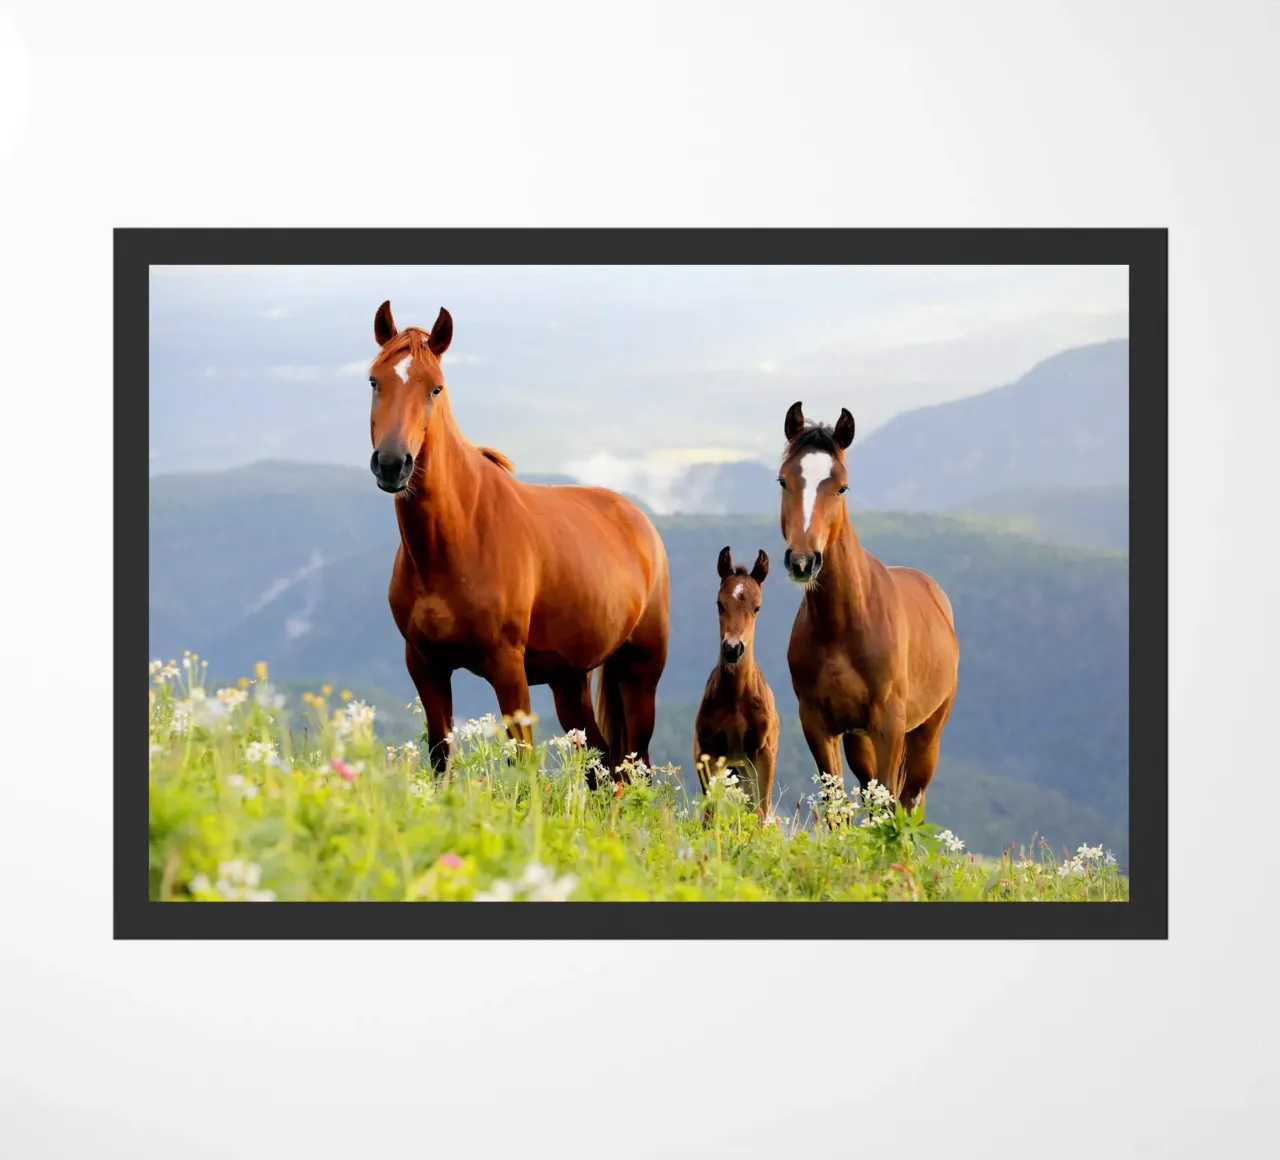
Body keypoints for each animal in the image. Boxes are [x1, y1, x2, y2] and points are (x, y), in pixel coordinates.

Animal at [366, 300, 670, 782]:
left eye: (435, 388)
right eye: (375, 380)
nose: (394, 464)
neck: (452, 543)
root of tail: (640, 522)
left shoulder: (508, 668)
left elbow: (524, 764)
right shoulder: (425, 665)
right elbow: (440, 756)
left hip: (639, 673)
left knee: (632, 765)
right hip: (569, 680)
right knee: (601, 763)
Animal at [692, 547, 780, 817]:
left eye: (757, 607)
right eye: (719, 603)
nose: (733, 648)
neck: (736, 698)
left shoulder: (763, 753)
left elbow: (761, 813)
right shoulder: (709, 752)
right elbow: (710, 815)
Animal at [777, 401, 959, 814]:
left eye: (841, 486)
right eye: (783, 481)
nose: (802, 561)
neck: (843, 625)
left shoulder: (888, 725)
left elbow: (890, 801)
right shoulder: (819, 724)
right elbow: (836, 805)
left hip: (927, 734)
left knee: (911, 799)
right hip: (859, 740)